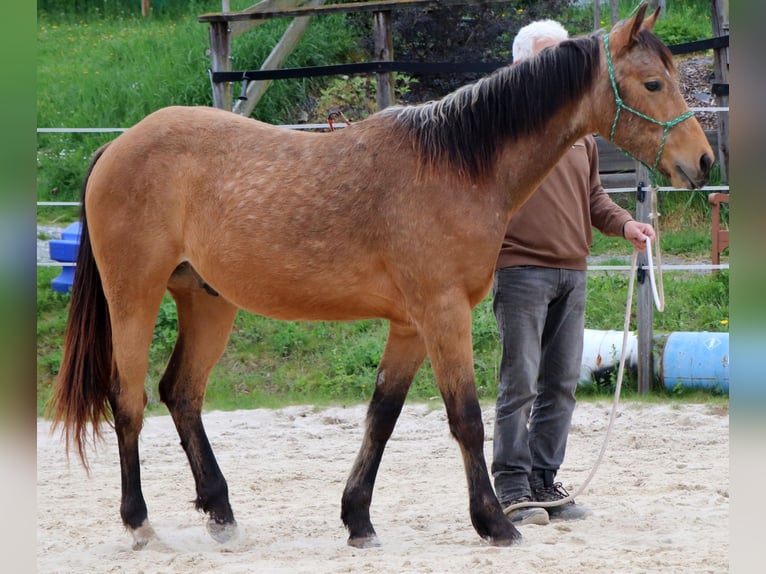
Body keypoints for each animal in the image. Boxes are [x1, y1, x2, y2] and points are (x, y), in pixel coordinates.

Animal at [50, 4, 713, 550]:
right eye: (652, 83)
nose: (703, 161)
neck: (457, 166)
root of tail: (114, 148)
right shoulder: (443, 314)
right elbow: (467, 418)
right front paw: (494, 523)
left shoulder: (411, 325)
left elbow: (382, 417)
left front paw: (358, 519)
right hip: (133, 298)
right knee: (128, 400)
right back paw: (139, 522)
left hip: (207, 301)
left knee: (181, 394)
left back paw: (221, 513)